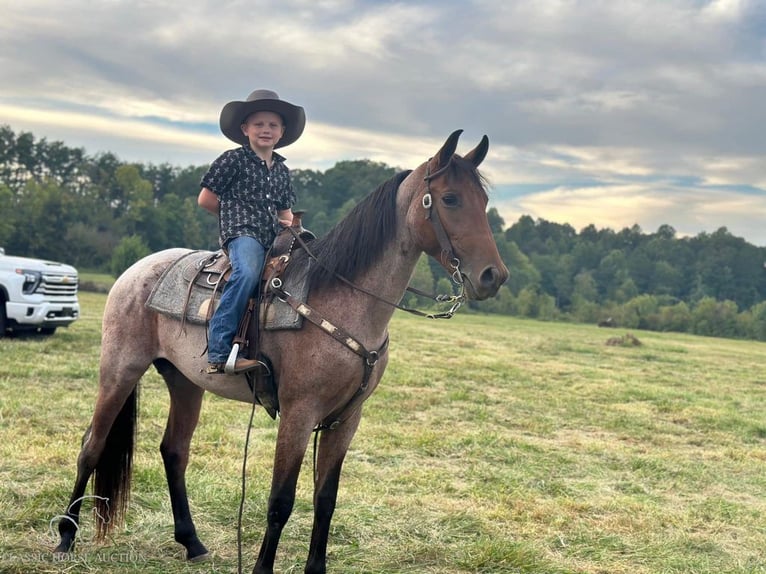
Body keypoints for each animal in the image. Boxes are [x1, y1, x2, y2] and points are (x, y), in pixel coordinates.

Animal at [54, 132, 510, 574]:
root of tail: (135, 271)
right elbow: (281, 501)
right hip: (120, 368)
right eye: (450, 199)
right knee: (92, 445)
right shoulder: (298, 413)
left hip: (185, 381)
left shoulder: (346, 419)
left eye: (484, 201)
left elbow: (326, 500)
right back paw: (65, 537)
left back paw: (192, 543)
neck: (340, 298)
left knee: (174, 451)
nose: (494, 276)